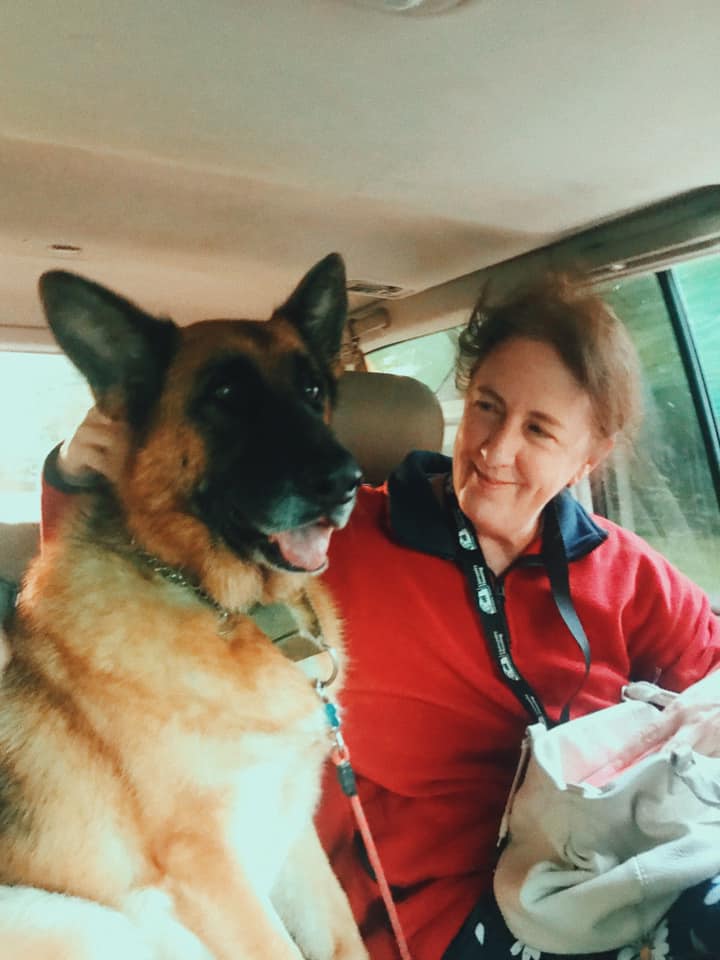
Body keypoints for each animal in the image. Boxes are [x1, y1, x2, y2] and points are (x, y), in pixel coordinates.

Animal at [0, 254, 369, 960]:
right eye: (226, 397)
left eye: (313, 390)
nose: (347, 480)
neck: (229, 608)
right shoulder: (212, 870)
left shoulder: (290, 836)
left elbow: (342, 938)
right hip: (86, 921)